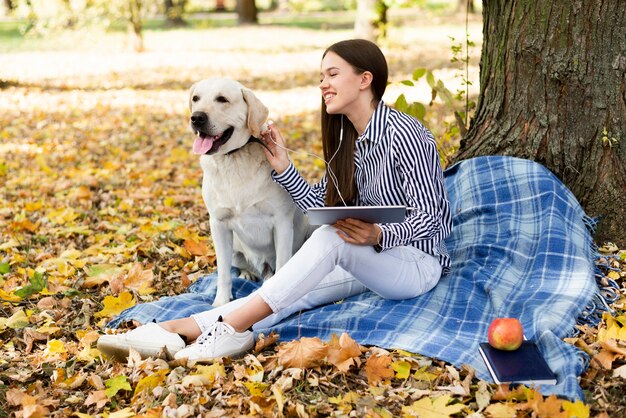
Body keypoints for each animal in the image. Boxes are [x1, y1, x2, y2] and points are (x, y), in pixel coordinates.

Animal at [188, 78, 310, 306]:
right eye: (196, 98)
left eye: (222, 99)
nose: (196, 117)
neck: (234, 159)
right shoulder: (218, 225)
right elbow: (223, 273)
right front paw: (221, 302)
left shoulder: (282, 222)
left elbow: (283, 264)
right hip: (236, 249)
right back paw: (248, 273)